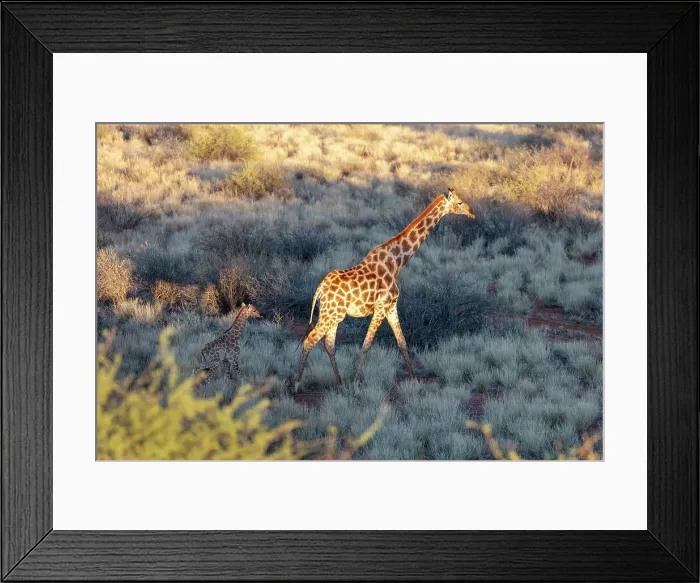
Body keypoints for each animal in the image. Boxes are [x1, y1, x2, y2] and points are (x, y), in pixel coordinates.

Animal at [293, 188, 475, 391]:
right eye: (459, 202)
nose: (472, 212)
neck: (397, 262)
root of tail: (320, 288)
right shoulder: (381, 307)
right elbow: (367, 344)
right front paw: (356, 382)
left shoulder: (391, 307)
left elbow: (402, 342)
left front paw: (413, 380)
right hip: (330, 314)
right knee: (310, 340)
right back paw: (296, 385)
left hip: (335, 315)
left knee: (329, 344)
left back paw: (340, 384)